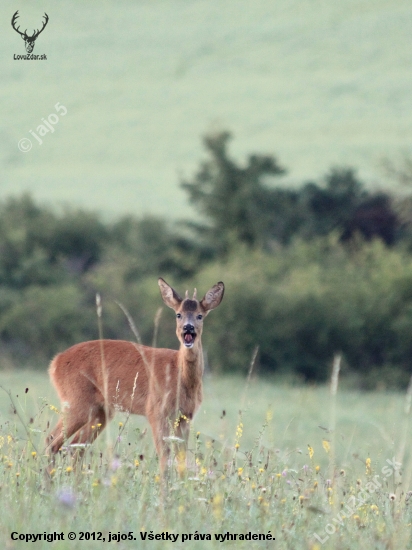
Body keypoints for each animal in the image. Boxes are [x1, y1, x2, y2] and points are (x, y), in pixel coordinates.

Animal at [46, 278, 224, 472]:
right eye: (178, 314)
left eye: (200, 315)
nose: (188, 328)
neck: (179, 375)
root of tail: (56, 362)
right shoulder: (155, 410)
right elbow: (164, 457)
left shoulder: (185, 416)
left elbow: (181, 459)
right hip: (76, 401)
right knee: (52, 441)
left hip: (100, 410)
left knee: (75, 447)